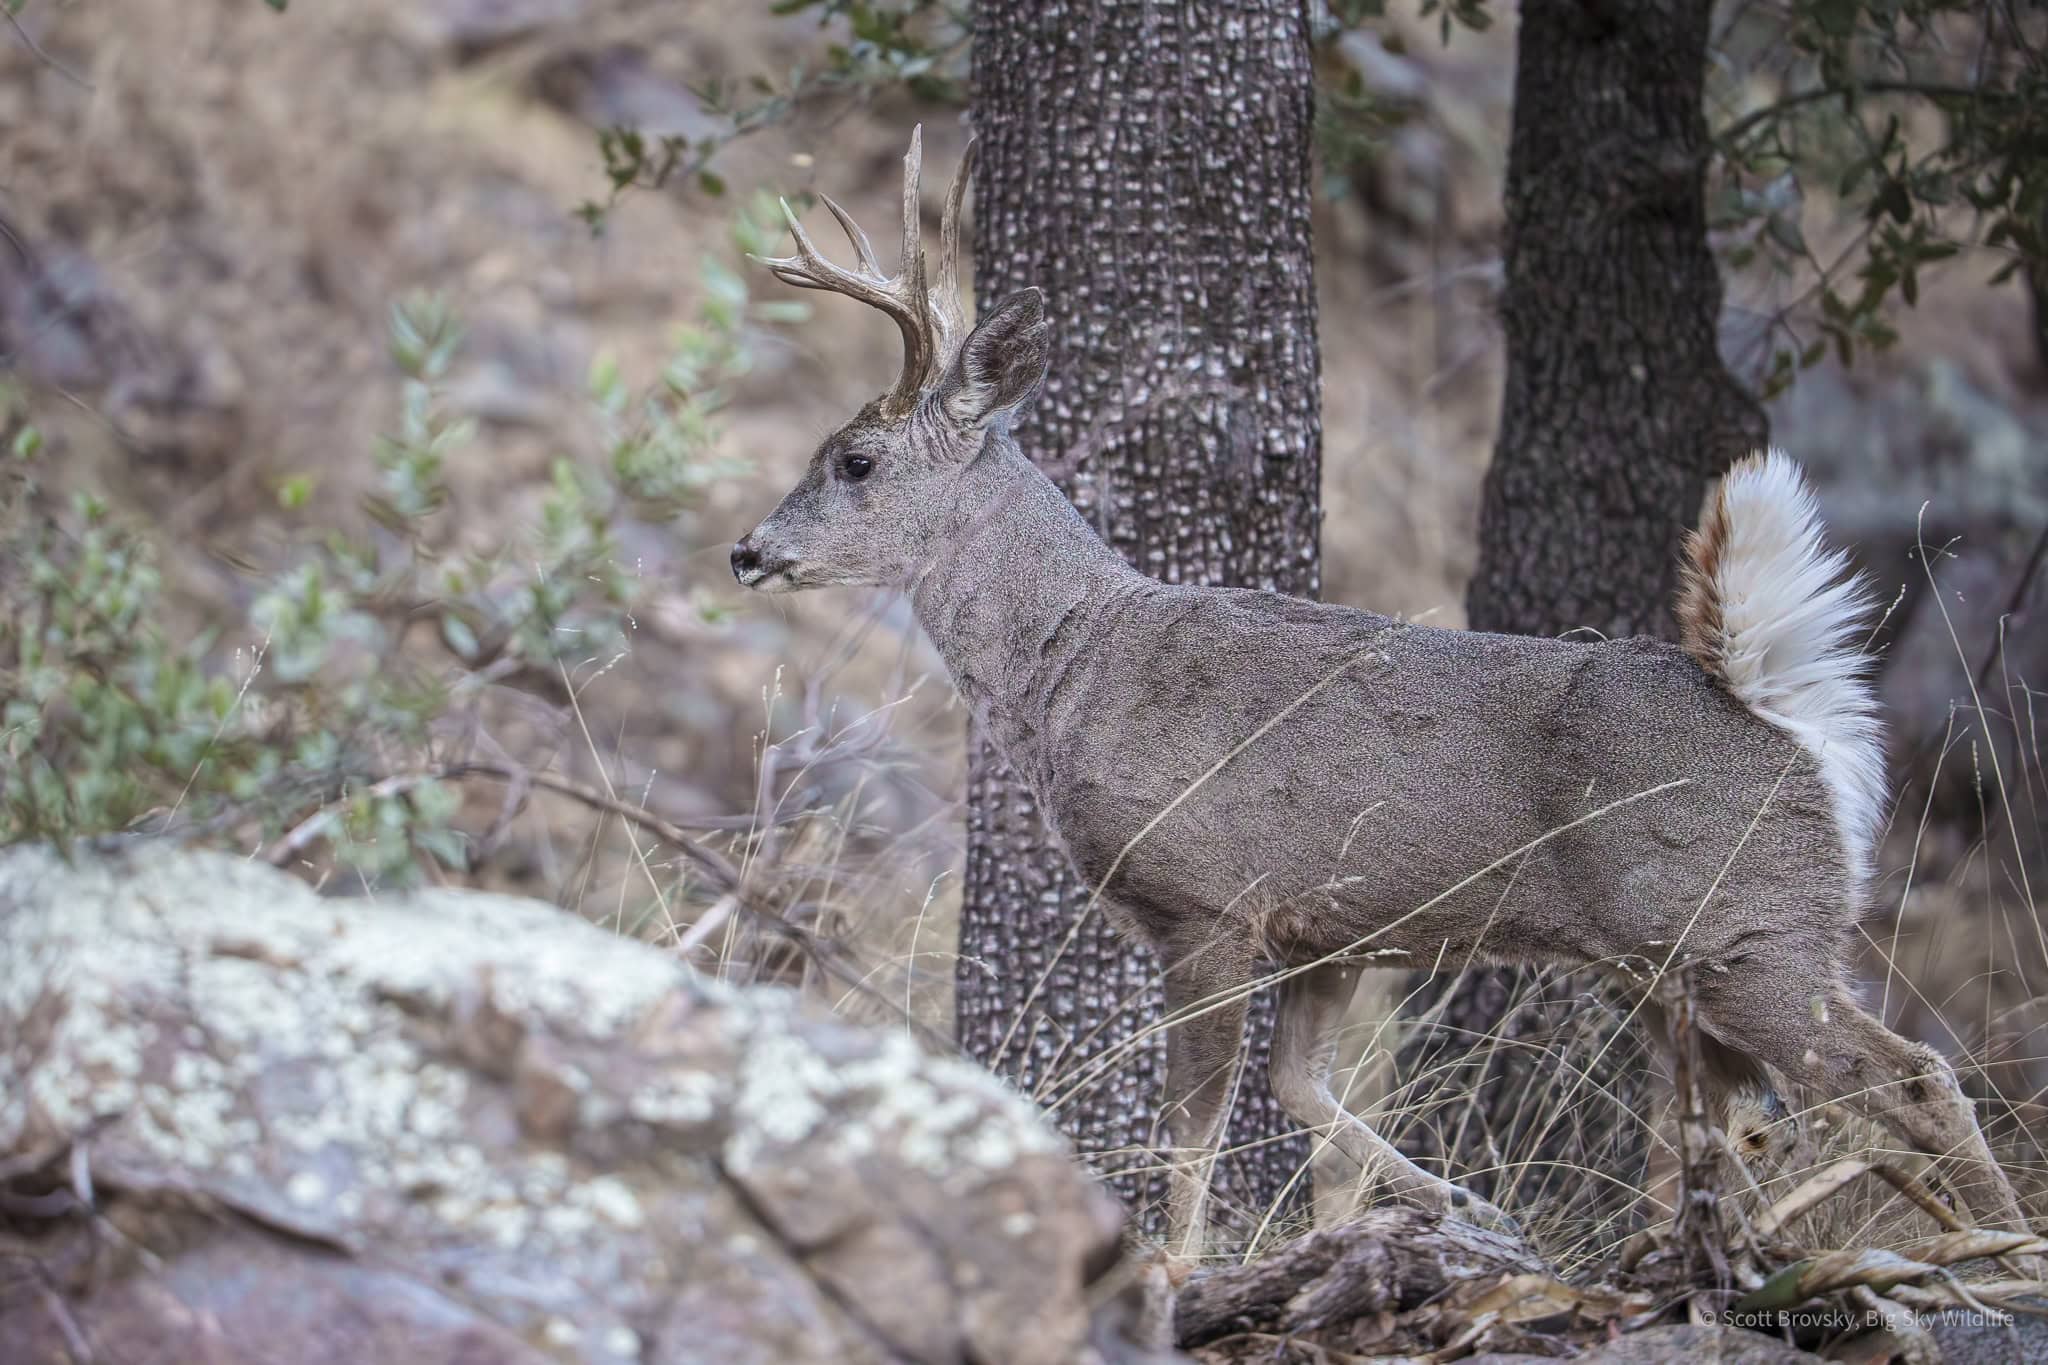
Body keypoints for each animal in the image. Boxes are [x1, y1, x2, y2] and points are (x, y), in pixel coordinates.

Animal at [730, 127, 2035, 1259]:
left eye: (853, 459)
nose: (746, 550)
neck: (1079, 663)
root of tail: (1781, 713)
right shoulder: (1330, 926)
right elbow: (1299, 1087)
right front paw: (1462, 1203)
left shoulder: (1210, 902)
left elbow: (1194, 1129)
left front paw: (1174, 1272)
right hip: (1697, 964)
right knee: (1760, 1117)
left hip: (1743, 928)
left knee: (1914, 1076)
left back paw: (1999, 1251)